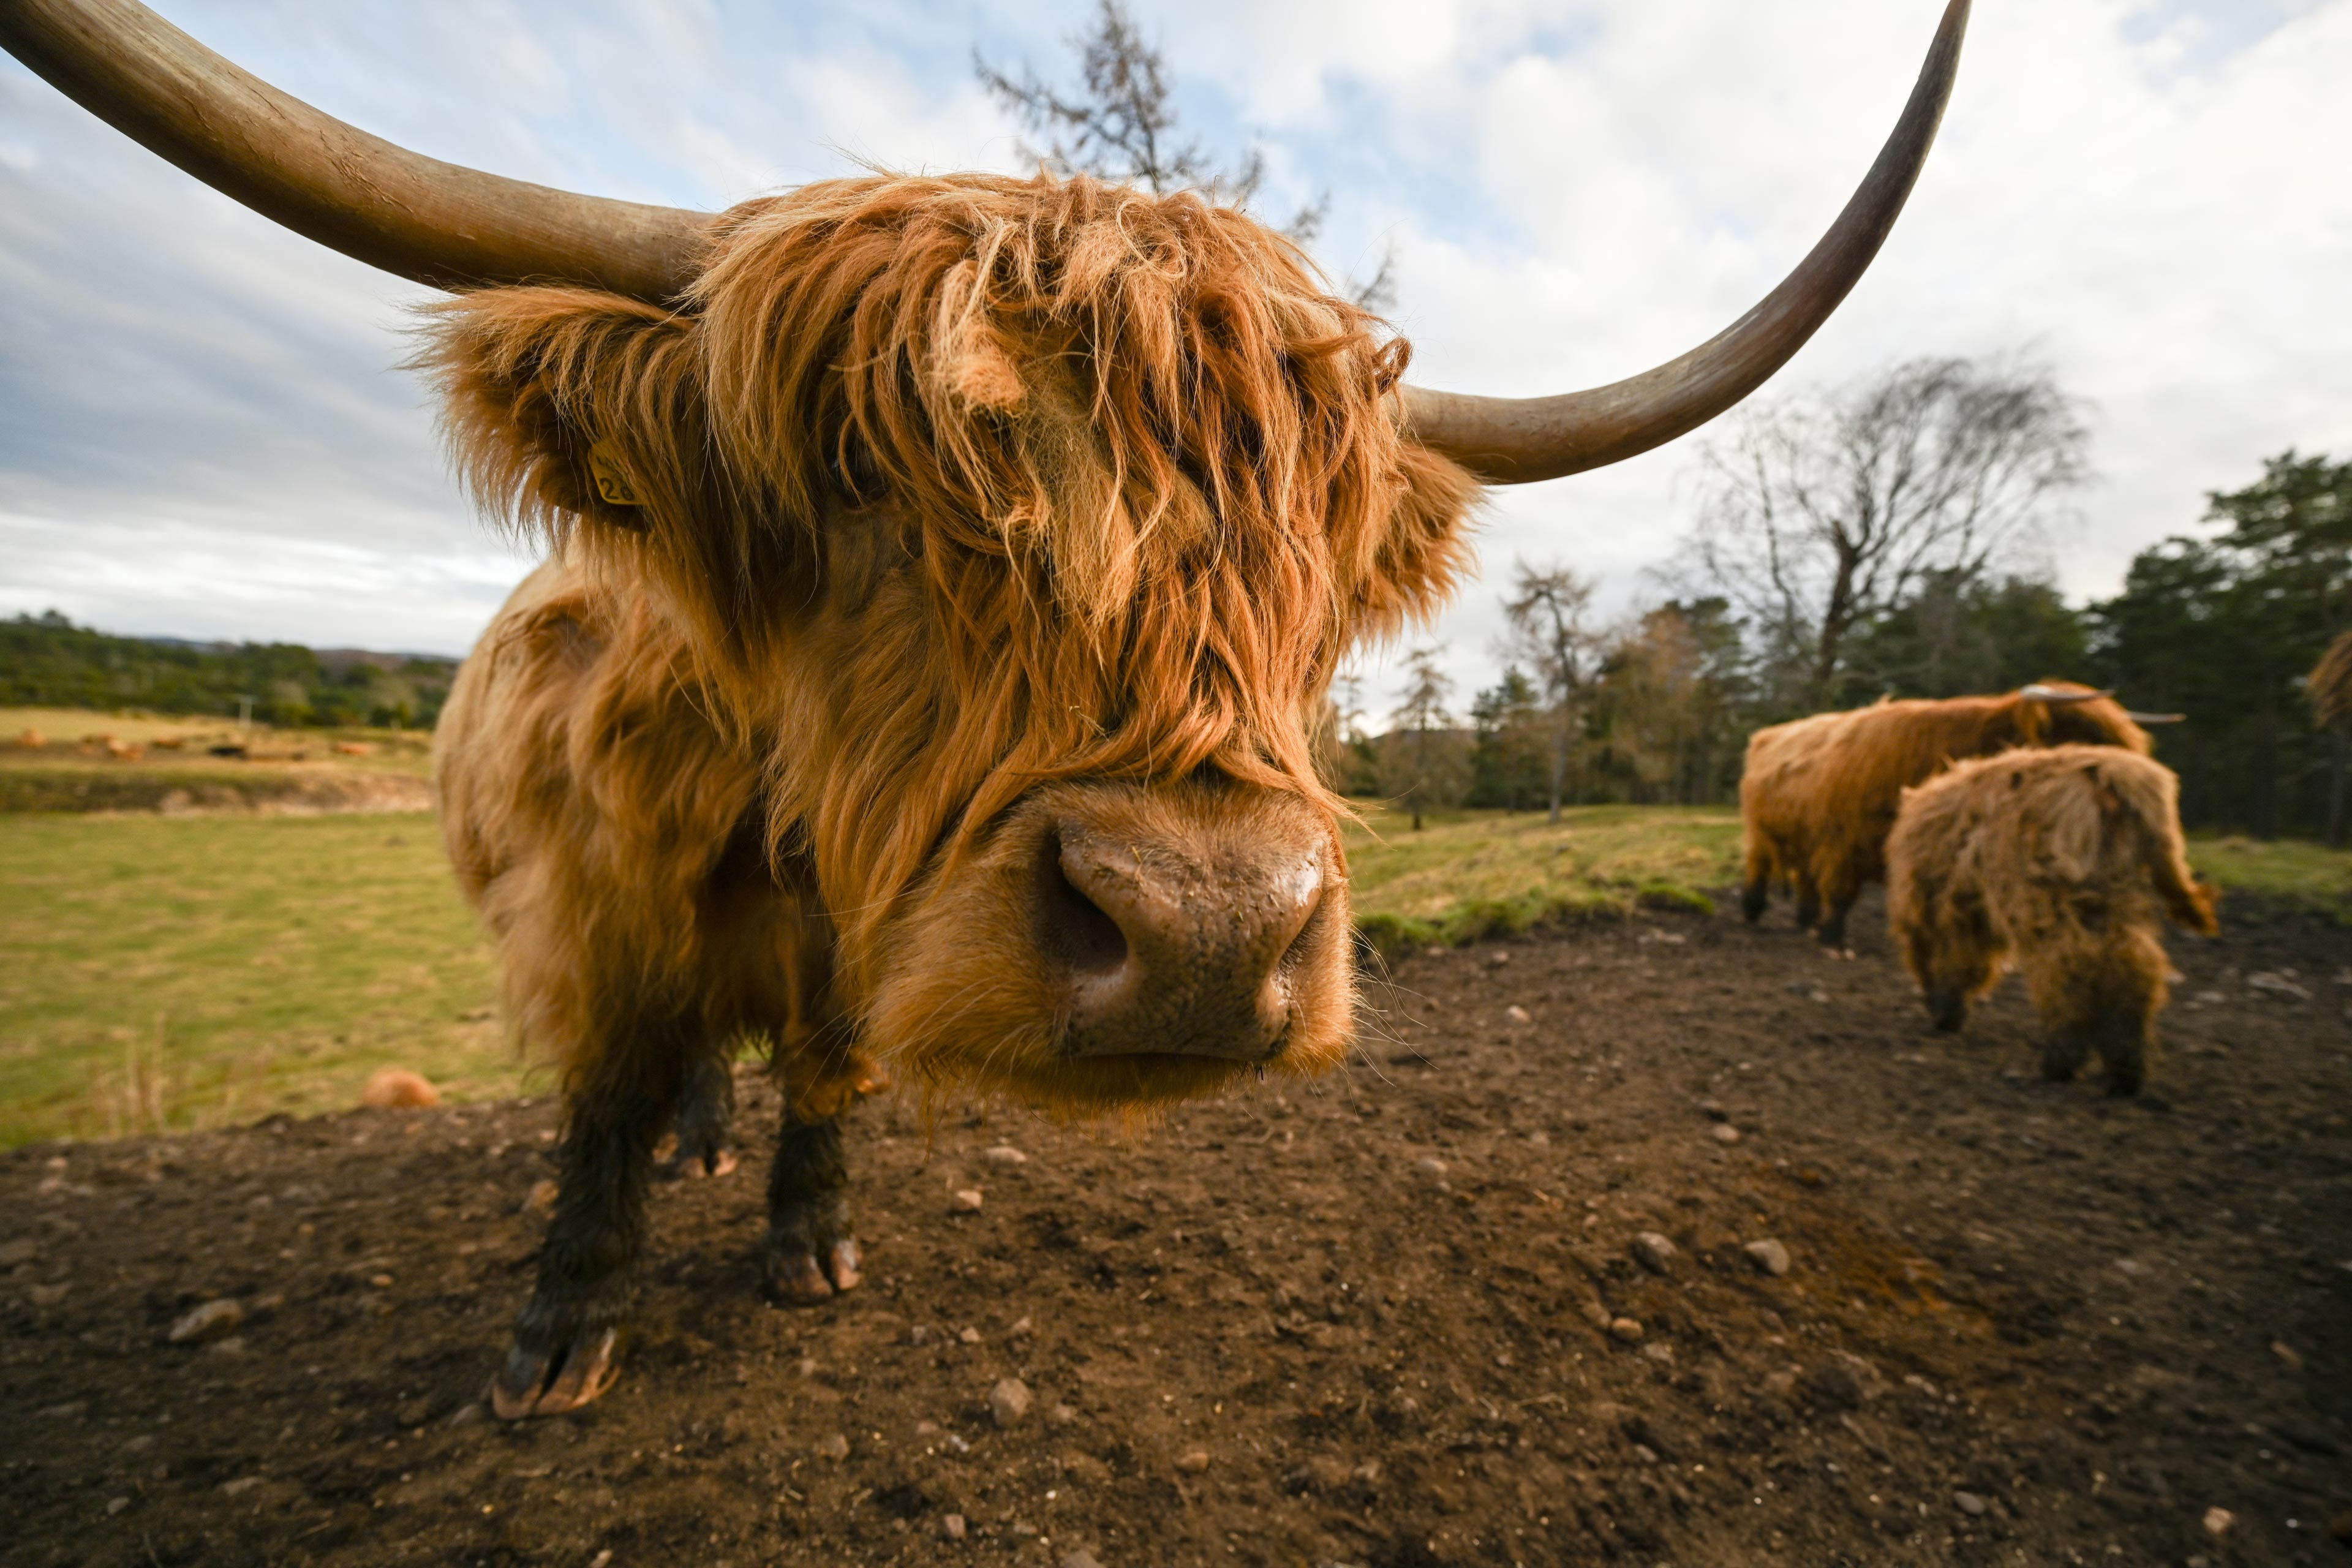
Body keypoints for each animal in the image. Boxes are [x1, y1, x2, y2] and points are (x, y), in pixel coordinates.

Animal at [2, 0, 1971, 1415]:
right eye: (860, 470)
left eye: (1317, 549)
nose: (1204, 935)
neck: (779, 826)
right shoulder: (599, 904)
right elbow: (607, 1098)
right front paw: (561, 1332)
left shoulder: (836, 954)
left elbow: (825, 1073)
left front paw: (809, 1241)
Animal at [1738, 682, 2175, 954]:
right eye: (2089, 740)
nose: (2147, 785)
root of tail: (1769, 734)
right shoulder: (1842, 842)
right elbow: (1842, 895)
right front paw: (1833, 941)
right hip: (1763, 833)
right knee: (1760, 866)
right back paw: (1754, 912)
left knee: (1805, 879)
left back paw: (1805, 919)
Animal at [1884, 744, 2218, 1096]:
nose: (1939, 1018)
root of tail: (2115, 777)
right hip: (2113, 894)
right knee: (2131, 966)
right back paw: (2125, 1070)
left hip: (2050, 897)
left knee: (2067, 965)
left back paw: (2061, 1061)